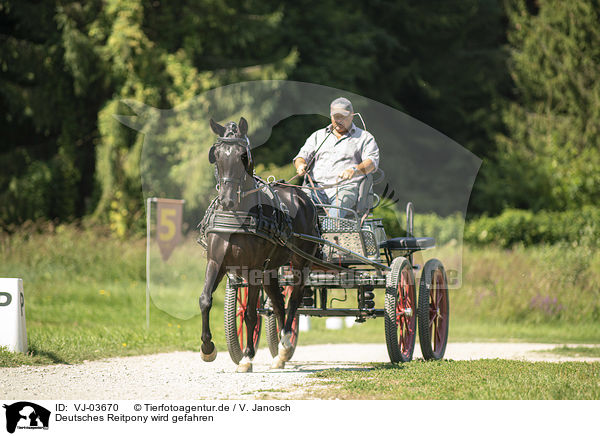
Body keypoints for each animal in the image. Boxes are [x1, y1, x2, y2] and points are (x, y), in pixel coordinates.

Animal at [199, 117, 318, 372]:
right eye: (217, 155)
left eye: (243, 156)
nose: (227, 200)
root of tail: (303, 196)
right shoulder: (216, 263)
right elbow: (205, 300)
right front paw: (207, 349)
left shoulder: (252, 268)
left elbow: (251, 315)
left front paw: (246, 358)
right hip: (270, 269)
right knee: (279, 303)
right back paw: (280, 353)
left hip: (300, 262)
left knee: (293, 300)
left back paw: (284, 345)